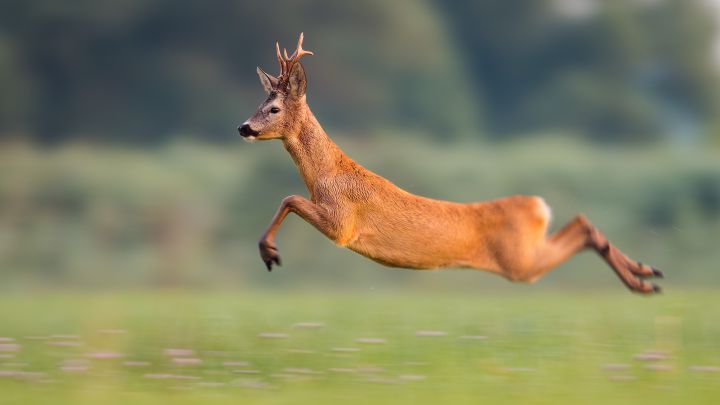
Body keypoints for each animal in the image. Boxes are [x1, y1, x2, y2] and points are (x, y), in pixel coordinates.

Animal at [240, 34, 664, 294]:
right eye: (259, 103)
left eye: (273, 108)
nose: (243, 127)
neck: (326, 174)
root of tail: (538, 206)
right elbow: (289, 199)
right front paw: (268, 251)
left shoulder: (342, 224)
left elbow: (290, 198)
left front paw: (269, 253)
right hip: (525, 254)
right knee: (582, 222)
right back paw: (647, 275)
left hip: (520, 261)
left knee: (582, 227)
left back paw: (644, 280)